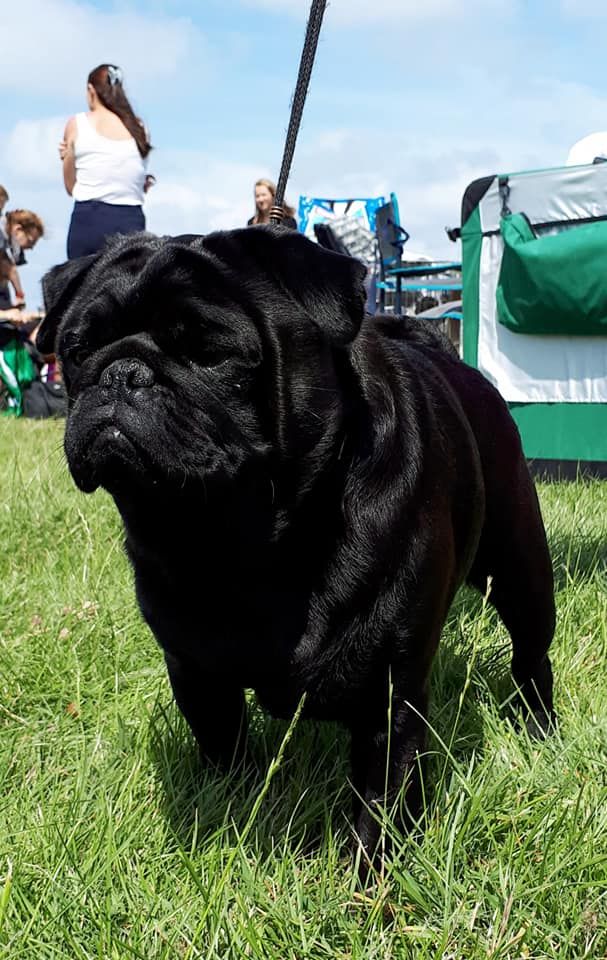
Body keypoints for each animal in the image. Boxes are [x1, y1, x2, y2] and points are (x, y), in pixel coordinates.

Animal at [39, 229, 556, 868]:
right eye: (77, 350)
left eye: (211, 355)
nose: (122, 373)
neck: (247, 540)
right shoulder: (196, 674)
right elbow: (224, 750)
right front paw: (229, 815)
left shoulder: (390, 695)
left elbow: (382, 799)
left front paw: (373, 879)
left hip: (520, 568)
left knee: (531, 655)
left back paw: (540, 729)